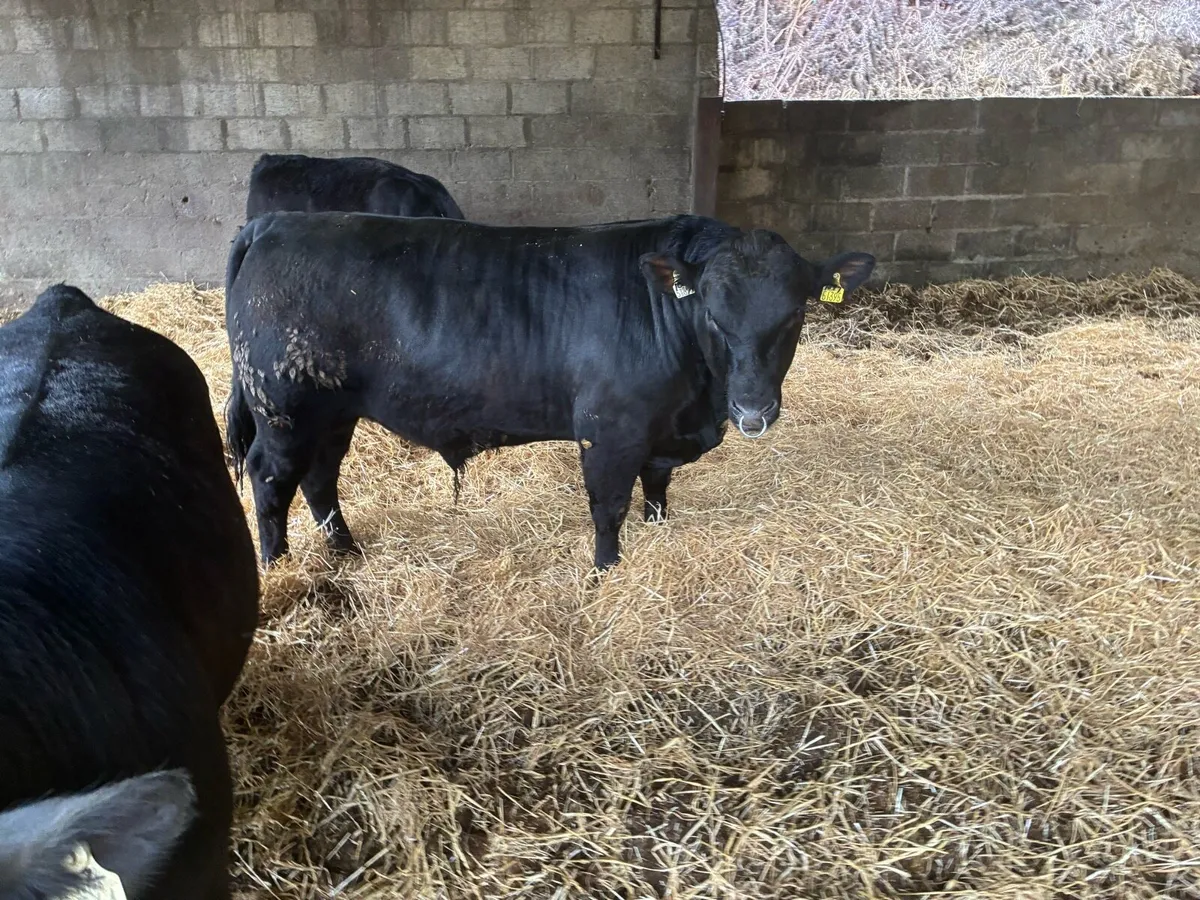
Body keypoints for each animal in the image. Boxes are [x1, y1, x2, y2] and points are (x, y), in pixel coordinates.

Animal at [223, 212, 875, 571]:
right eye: (714, 316)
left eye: (795, 314)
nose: (753, 409)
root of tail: (275, 221)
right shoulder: (608, 430)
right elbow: (608, 505)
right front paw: (607, 569)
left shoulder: (661, 431)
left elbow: (657, 489)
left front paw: (658, 532)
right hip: (283, 408)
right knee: (270, 477)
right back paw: (278, 565)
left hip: (333, 411)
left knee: (320, 476)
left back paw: (345, 551)